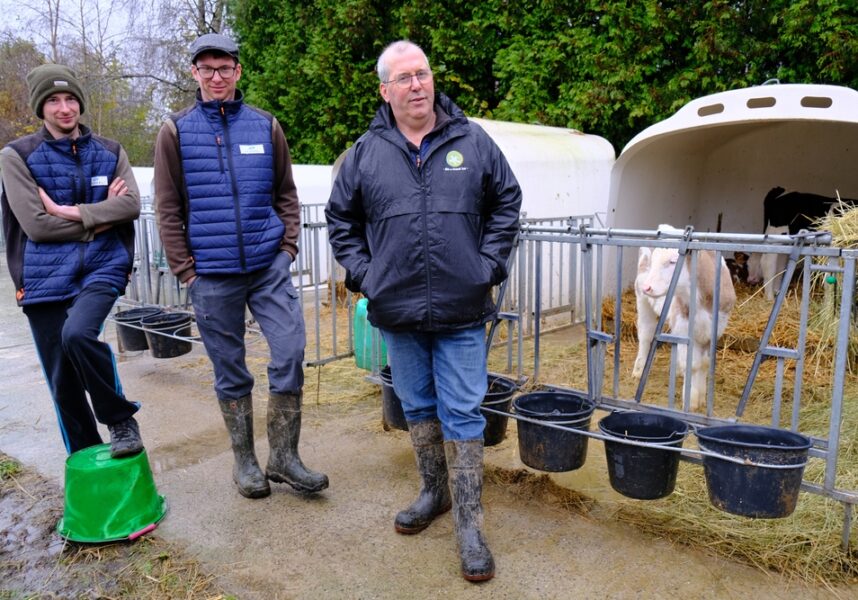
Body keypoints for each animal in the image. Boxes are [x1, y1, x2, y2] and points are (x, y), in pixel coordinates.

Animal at [632, 229, 732, 408]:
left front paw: (701, 397)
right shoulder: (684, 327)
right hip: (643, 302)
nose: (647, 287)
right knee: (645, 335)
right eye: (654, 261)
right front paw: (691, 399)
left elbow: (704, 363)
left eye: (673, 261)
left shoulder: (714, 330)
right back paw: (639, 368)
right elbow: (692, 365)